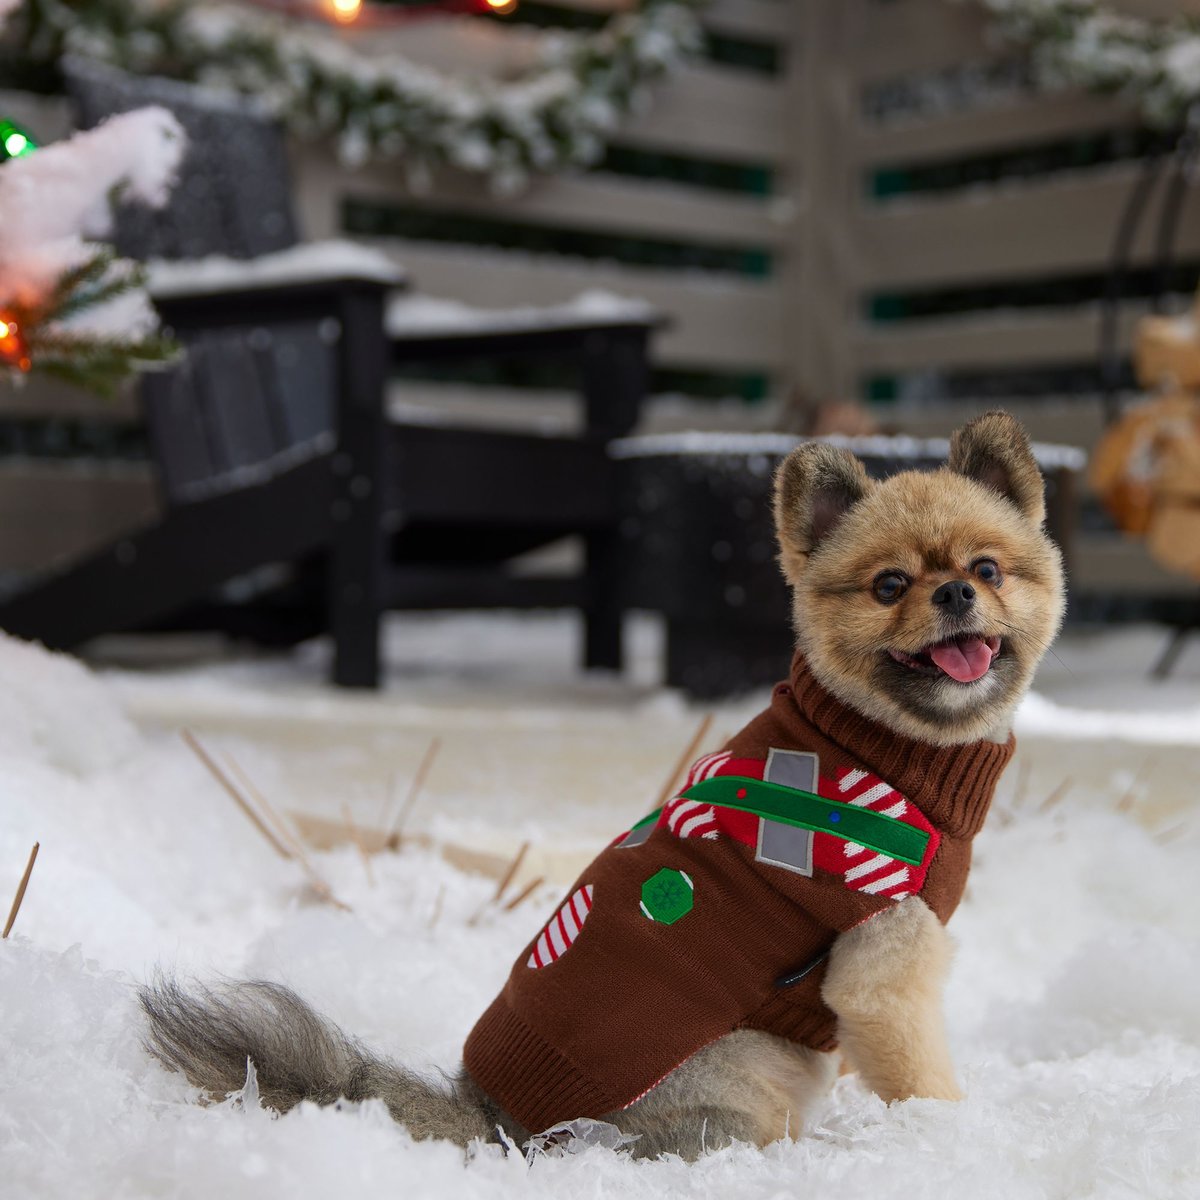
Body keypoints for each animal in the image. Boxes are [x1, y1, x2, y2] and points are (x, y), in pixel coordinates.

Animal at [142, 410, 1070, 1161]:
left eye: (989, 569)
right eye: (888, 586)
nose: (956, 592)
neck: (883, 742)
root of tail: (501, 1122)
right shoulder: (880, 978)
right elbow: (923, 1080)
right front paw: (947, 1140)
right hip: (748, 1067)